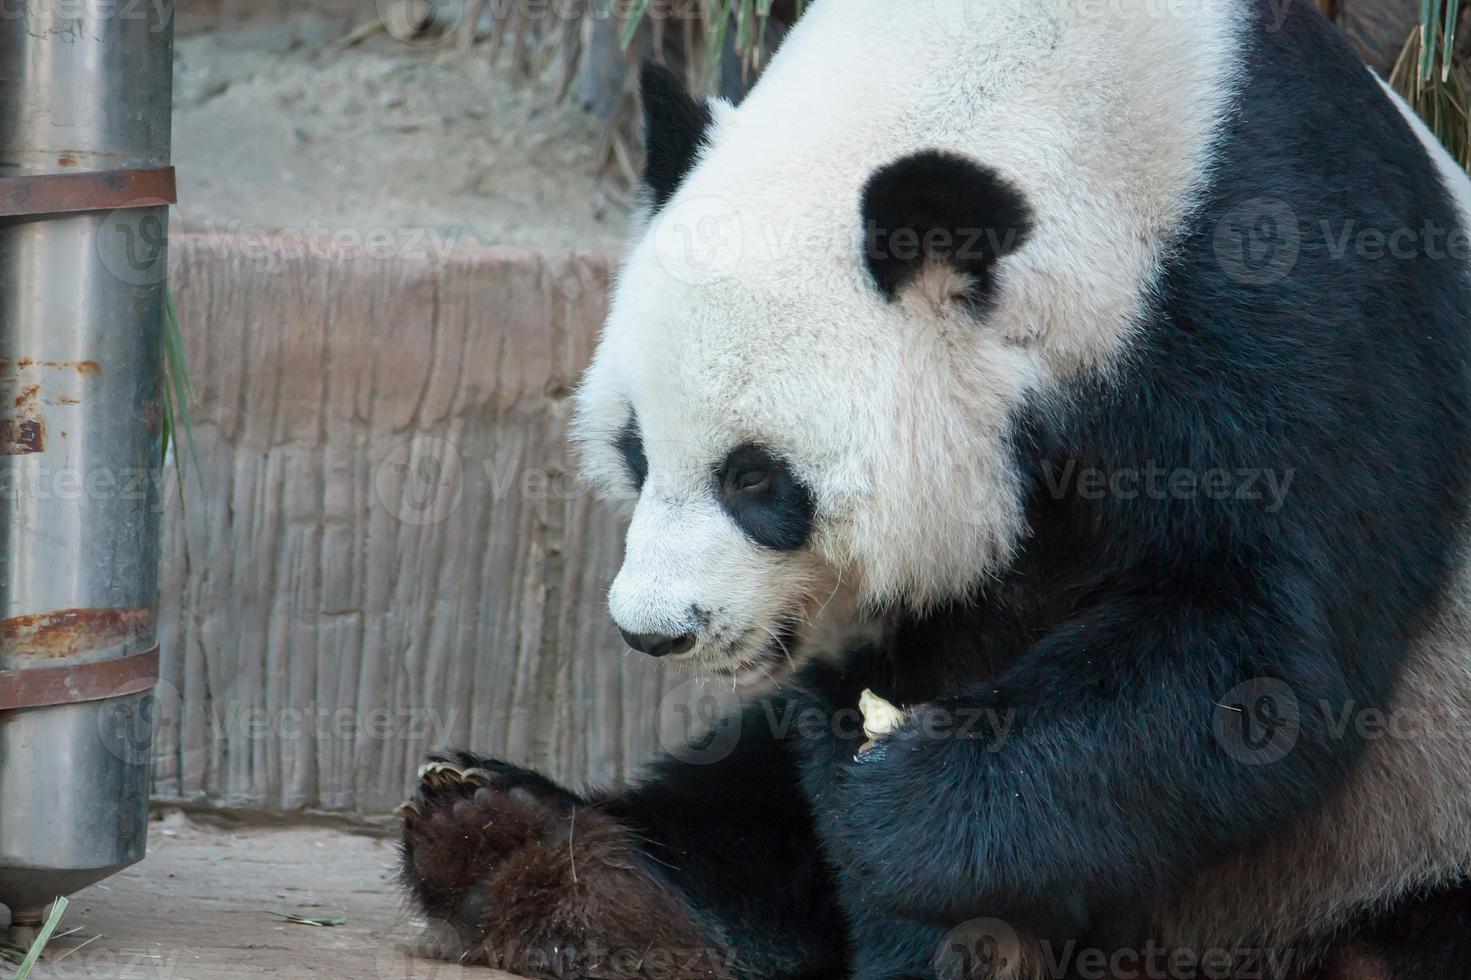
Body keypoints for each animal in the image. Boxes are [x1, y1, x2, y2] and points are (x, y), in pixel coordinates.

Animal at [397, 1, 1471, 977]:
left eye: (755, 478)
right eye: (634, 451)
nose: (653, 630)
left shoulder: (1286, 288)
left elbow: (1256, 651)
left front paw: (903, 820)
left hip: (1407, 820)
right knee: (740, 794)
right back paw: (522, 850)